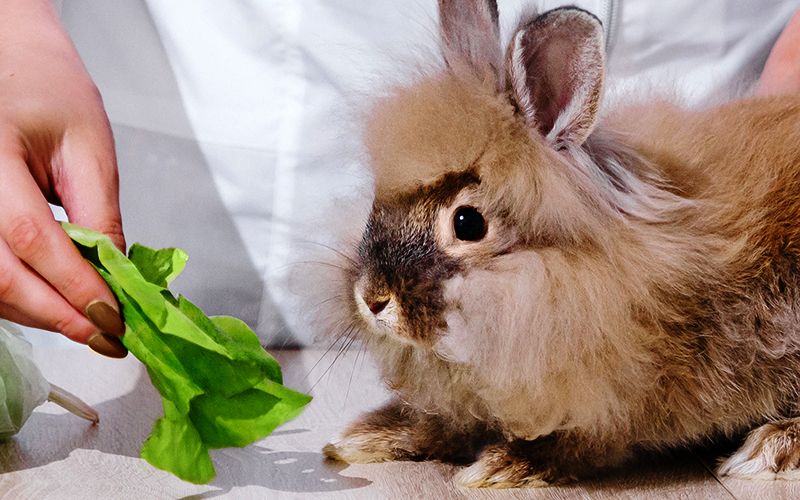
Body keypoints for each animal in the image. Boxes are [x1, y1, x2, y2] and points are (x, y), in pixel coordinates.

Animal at [320, 0, 800, 486]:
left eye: (467, 223)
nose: (372, 299)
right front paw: (369, 435)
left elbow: (579, 441)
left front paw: (502, 465)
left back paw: (771, 447)